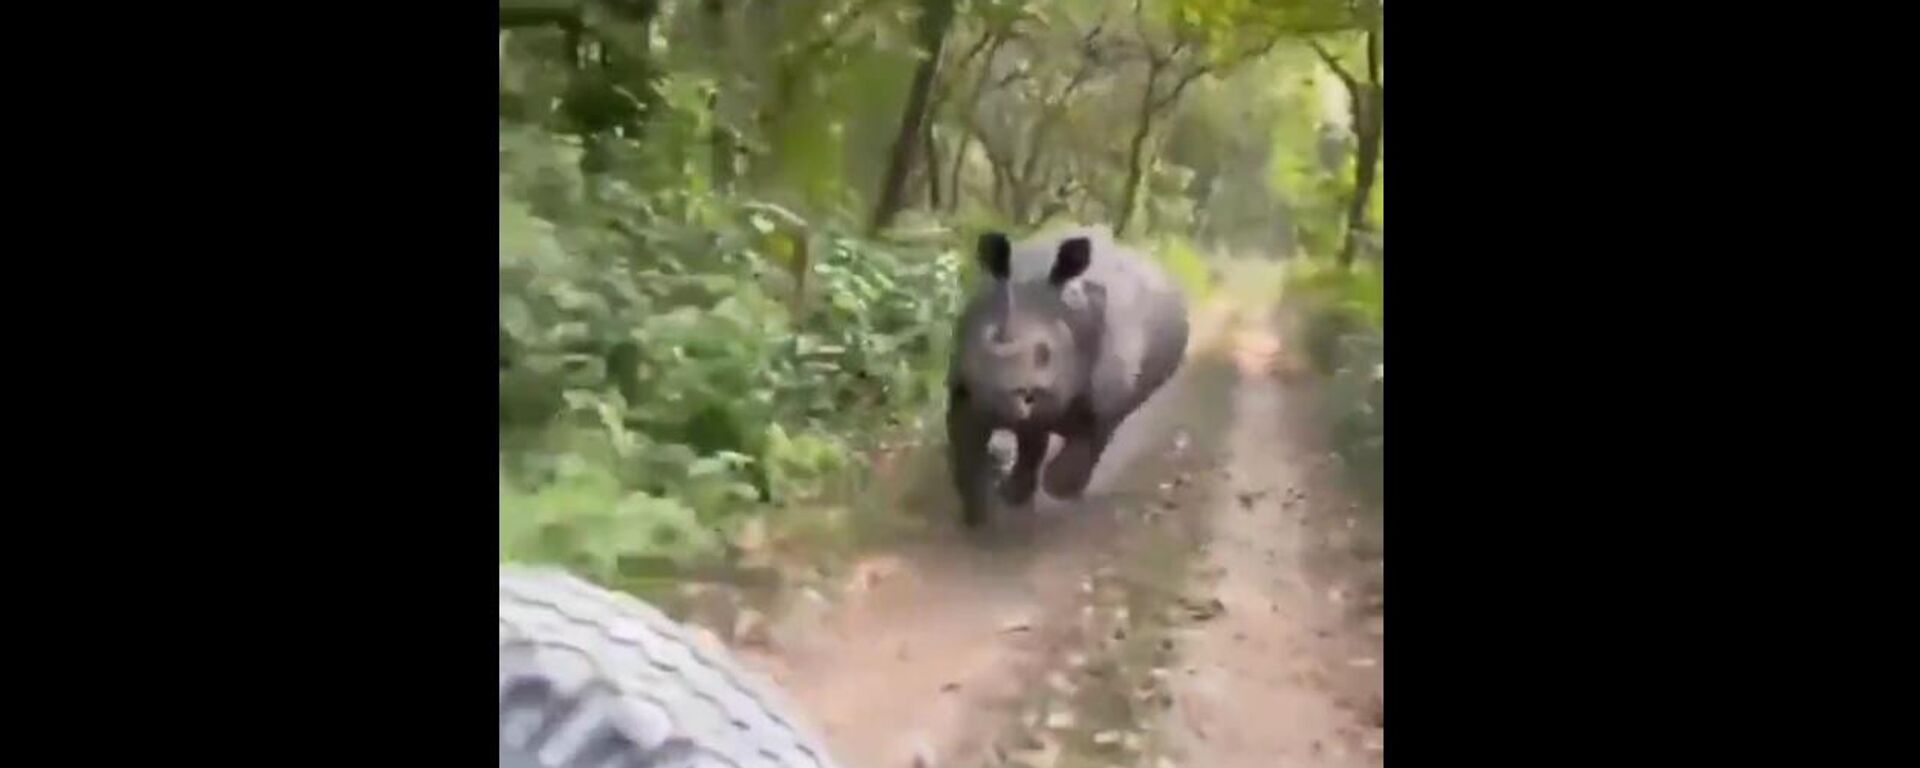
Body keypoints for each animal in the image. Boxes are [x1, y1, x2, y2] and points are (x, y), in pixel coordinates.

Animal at [944, 224, 1182, 526]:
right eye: (990, 337)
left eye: (1045, 354)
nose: (997, 401)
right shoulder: (962, 384)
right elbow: (966, 452)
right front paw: (980, 514)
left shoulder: (1104, 392)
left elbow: (1093, 430)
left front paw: (1057, 488)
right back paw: (1015, 494)